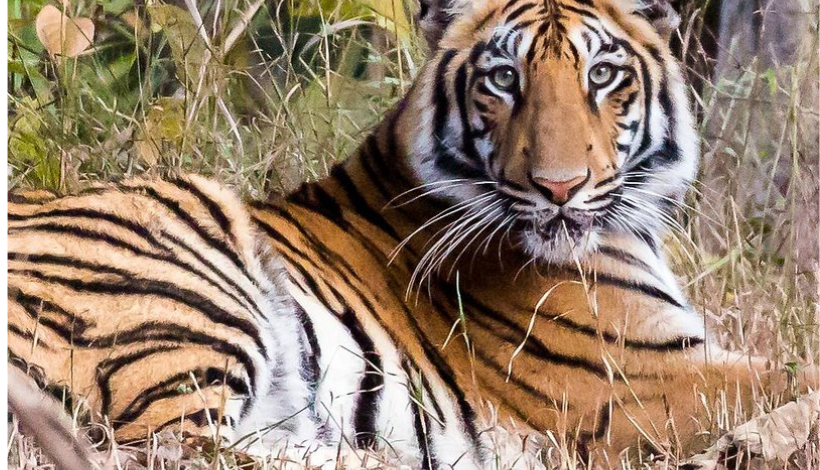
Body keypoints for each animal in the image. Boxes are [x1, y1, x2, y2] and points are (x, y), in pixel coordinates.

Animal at [8, 0, 817, 468]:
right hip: (184, 269)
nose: (559, 188)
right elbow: (795, 372)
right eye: (503, 79)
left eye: (602, 76)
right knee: (178, 448)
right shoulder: (636, 383)